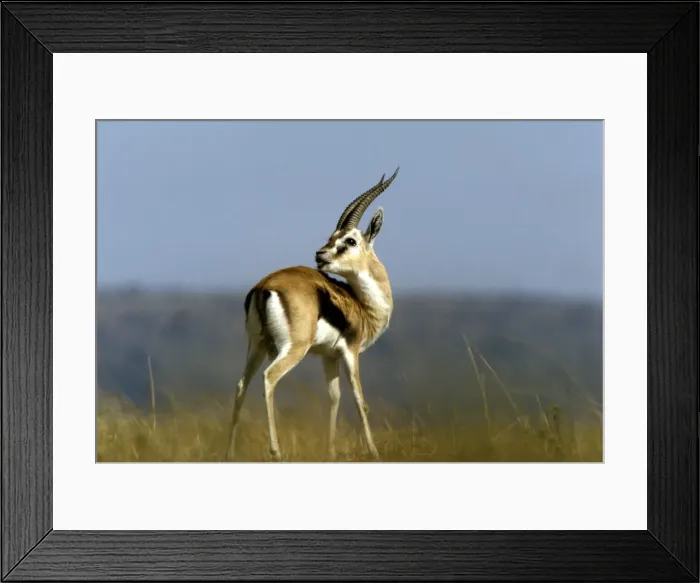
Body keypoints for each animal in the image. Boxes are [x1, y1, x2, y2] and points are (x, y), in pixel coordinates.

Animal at [226, 167, 400, 462]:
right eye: (335, 237)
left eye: (349, 240)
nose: (320, 254)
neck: (362, 306)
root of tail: (264, 286)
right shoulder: (350, 351)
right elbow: (359, 400)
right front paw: (374, 451)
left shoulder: (328, 357)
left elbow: (334, 397)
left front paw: (331, 452)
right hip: (293, 348)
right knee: (269, 378)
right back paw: (276, 452)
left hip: (257, 345)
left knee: (241, 384)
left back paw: (229, 452)